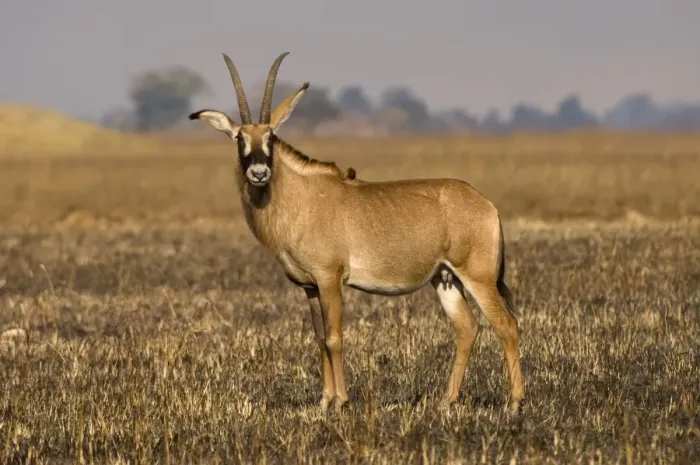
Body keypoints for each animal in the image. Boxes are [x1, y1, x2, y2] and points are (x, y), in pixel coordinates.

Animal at [189, 52, 525, 414]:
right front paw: (324, 401)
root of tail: (486, 204)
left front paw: (341, 400)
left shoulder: (329, 279)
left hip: (478, 277)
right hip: (445, 279)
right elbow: (320, 338)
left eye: (271, 137)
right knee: (467, 328)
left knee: (506, 325)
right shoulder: (309, 287)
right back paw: (446, 400)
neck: (301, 197)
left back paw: (514, 401)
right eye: (240, 138)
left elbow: (335, 337)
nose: (259, 173)